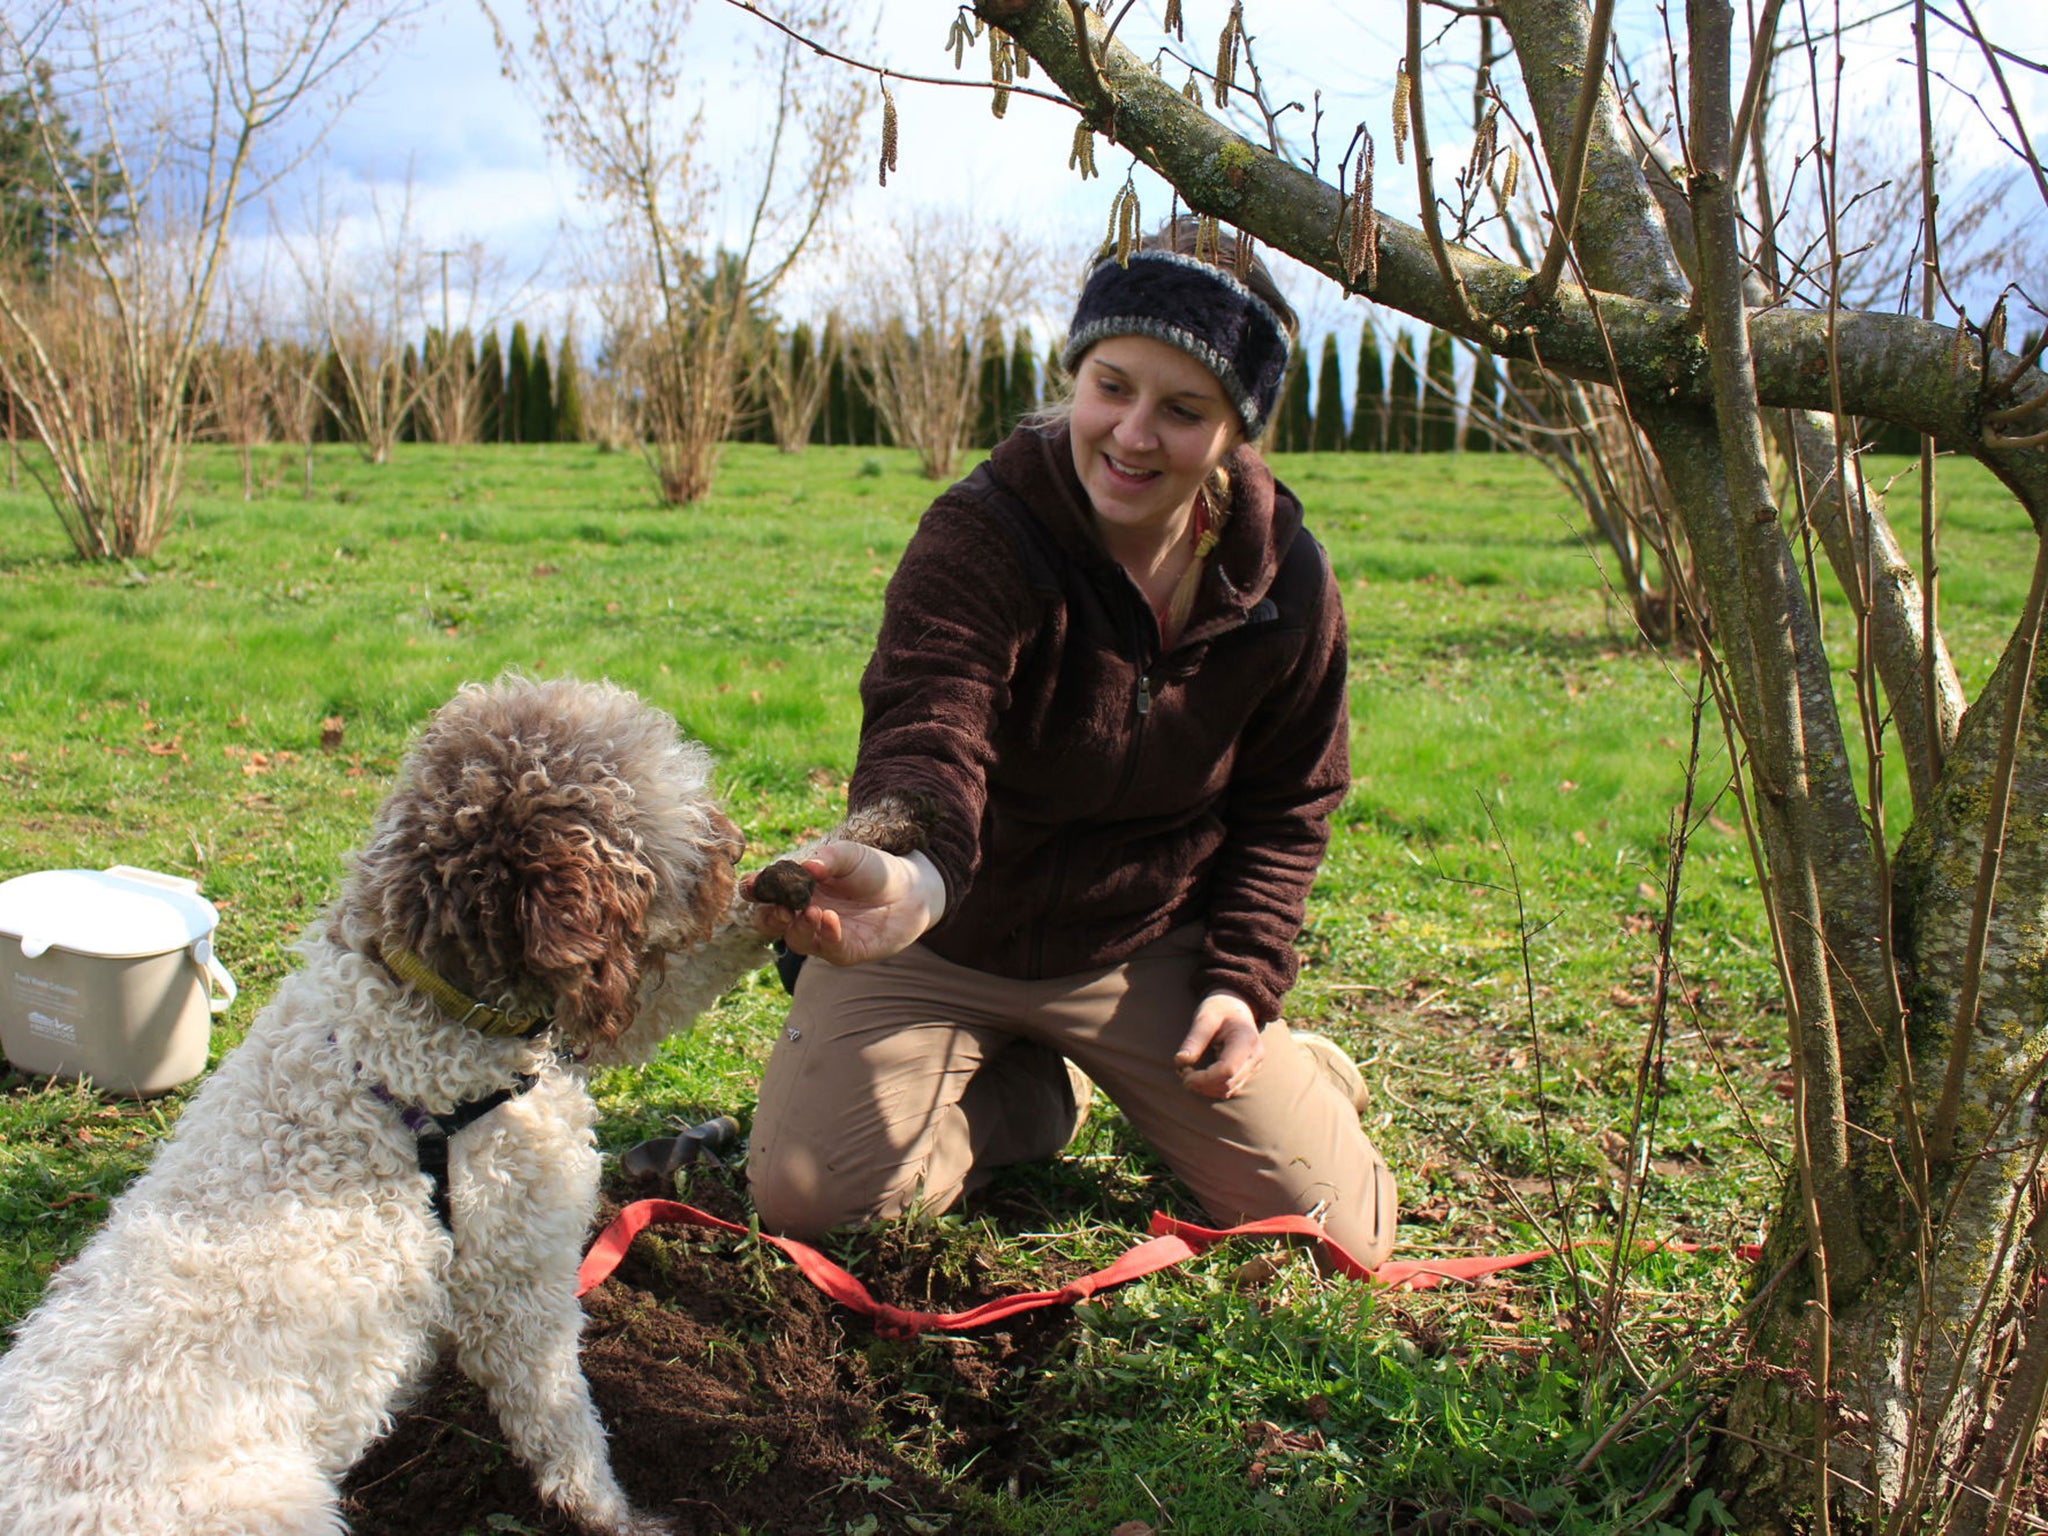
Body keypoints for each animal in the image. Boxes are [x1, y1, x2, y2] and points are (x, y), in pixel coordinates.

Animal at [0, 679, 774, 1531]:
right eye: (669, 802)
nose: (740, 843)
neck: (417, 1014)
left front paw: (801, 881)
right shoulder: (515, 1283)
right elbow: (563, 1426)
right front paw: (616, 1515)